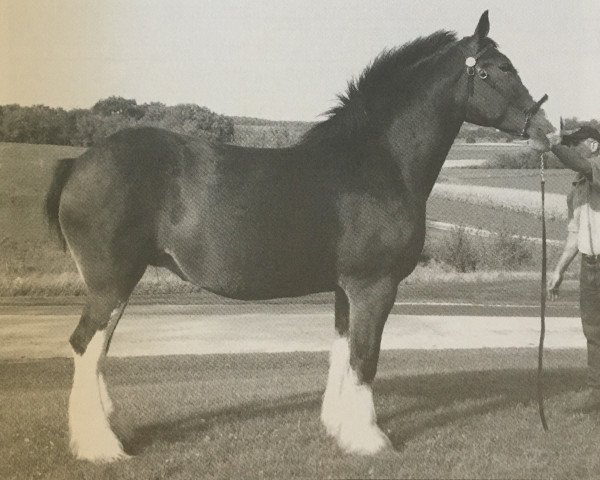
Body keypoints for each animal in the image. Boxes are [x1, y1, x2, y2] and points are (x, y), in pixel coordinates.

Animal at [47, 11, 552, 462]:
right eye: (494, 70)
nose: (548, 130)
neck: (377, 162)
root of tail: (79, 163)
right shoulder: (374, 286)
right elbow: (365, 357)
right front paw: (371, 440)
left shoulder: (346, 289)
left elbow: (342, 351)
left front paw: (340, 429)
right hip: (112, 282)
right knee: (85, 345)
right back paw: (100, 447)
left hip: (119, 283)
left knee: (98, 349)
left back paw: (112, 429)